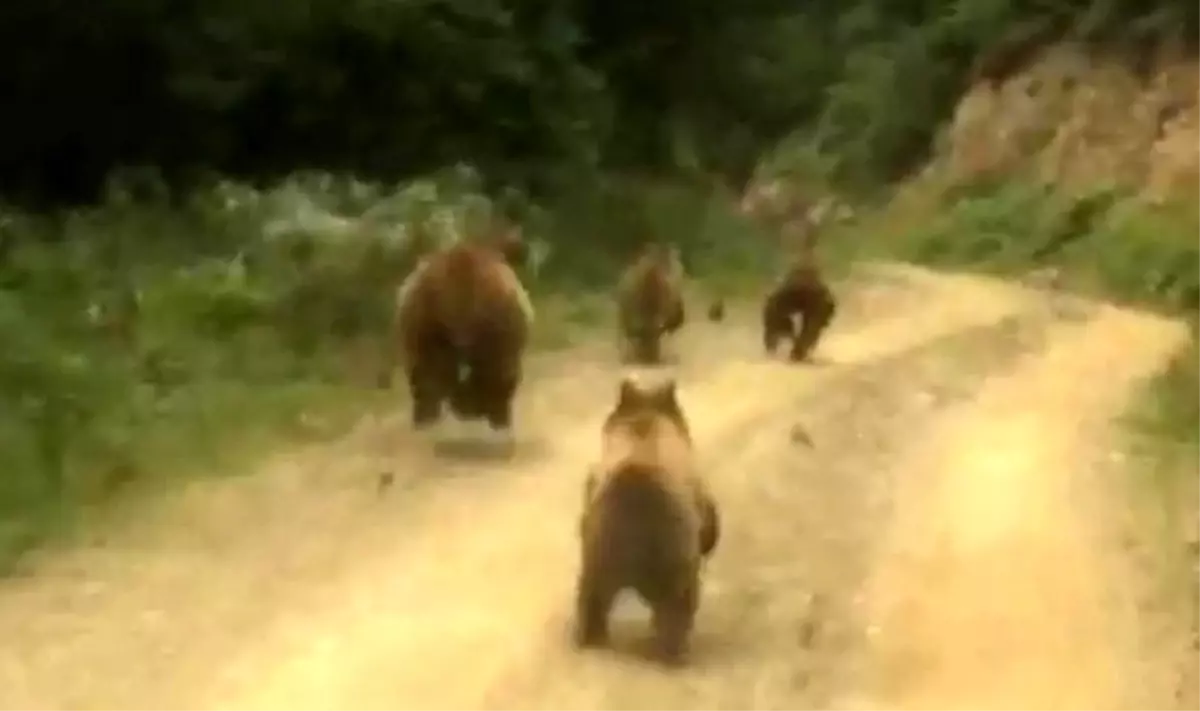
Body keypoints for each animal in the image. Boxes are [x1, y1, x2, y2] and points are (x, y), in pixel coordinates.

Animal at [384, 224, 535, 429]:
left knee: (425, 371)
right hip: (498, 319)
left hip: (422, 316)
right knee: (498, 369)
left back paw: (429, 415)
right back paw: (495, 414)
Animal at [573, 377, 715, 667]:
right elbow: (709, 518)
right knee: (678, 603)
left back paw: (589, 637)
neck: (645, 422)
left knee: (590, 596)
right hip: (673, 552)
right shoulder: (694, 485)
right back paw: (675, 649)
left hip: (597, 547)